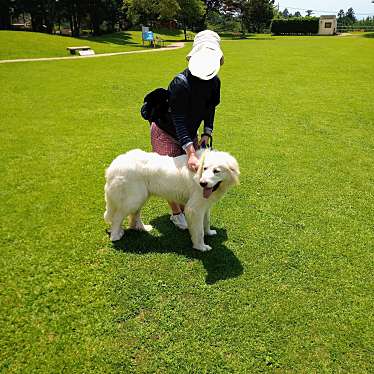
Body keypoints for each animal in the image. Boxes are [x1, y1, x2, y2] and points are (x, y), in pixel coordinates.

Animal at [104, 149, 240, 251]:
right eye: (205, 168)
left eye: (216, 171)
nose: (202, 183)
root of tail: (112, 166)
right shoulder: (194, 209)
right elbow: (199, 231)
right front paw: (201, 247)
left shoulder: (205, 206)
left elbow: (206, 222)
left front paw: (209, 232)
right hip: (133, 199)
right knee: (117, 218)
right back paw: (115, 236)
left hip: (140, 198)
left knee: (134, 215)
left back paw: (141, 228)